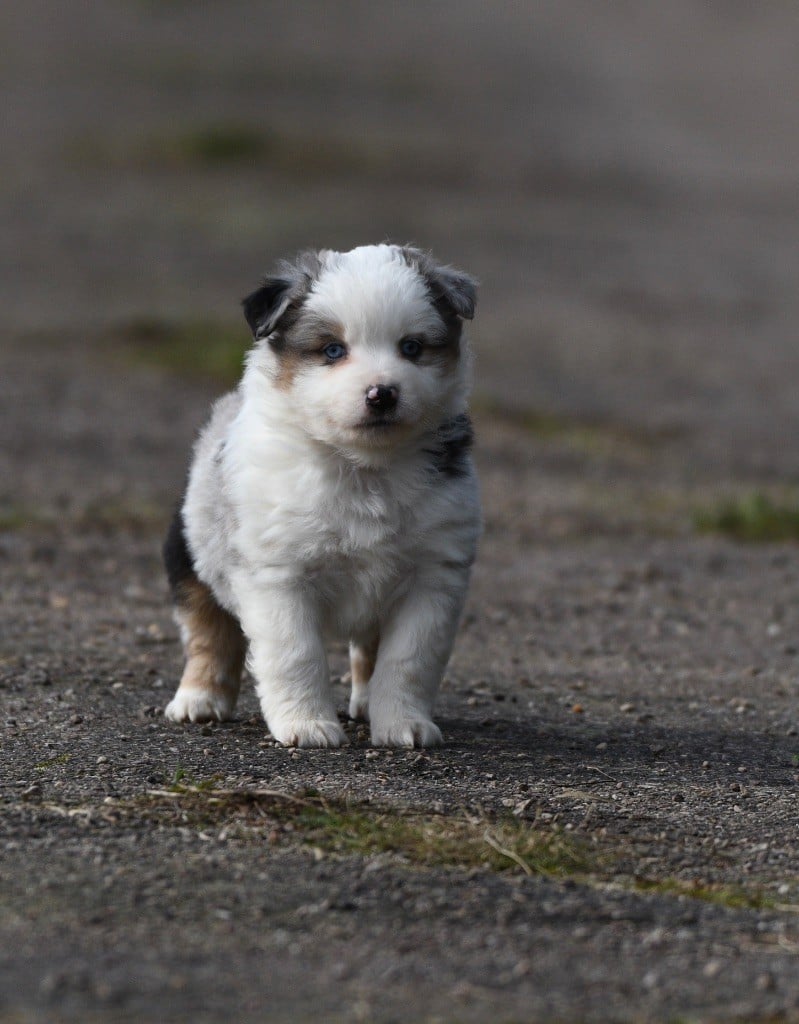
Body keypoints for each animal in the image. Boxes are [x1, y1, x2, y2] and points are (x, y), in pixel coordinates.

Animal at [158, 243, 477, 749]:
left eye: (411, 347)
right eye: (332, 350)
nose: (382, 394)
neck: (365, 469)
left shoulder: (433, 576)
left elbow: (408, 661)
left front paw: (403, 725)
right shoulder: (279, 577)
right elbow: (295, 654)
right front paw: (307, 726)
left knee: (367, 650)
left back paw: (365, 704)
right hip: (191, 552)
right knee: (208, 632)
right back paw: (199, 701)